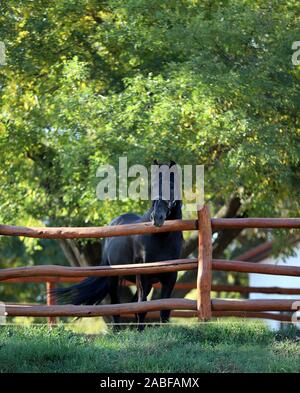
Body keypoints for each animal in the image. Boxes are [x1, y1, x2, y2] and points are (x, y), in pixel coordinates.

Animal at [54, 161, 183, 326]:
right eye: (153, 186)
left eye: (171, 187)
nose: (156, 218)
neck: (161, 239)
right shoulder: (143, 275)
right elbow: (141, 308)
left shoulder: (170, 277)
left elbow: (164, 310)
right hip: (114, 279)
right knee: (116, 306)